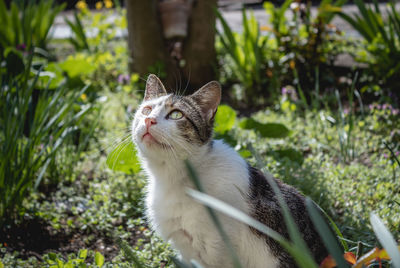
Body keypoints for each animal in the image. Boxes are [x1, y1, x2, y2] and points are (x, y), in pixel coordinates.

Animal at [131, 74, 328, 266]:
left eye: (176, 114)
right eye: (146, 110)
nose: (149, 120)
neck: (175, 178)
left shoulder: (218, 249)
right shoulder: (185, 247)